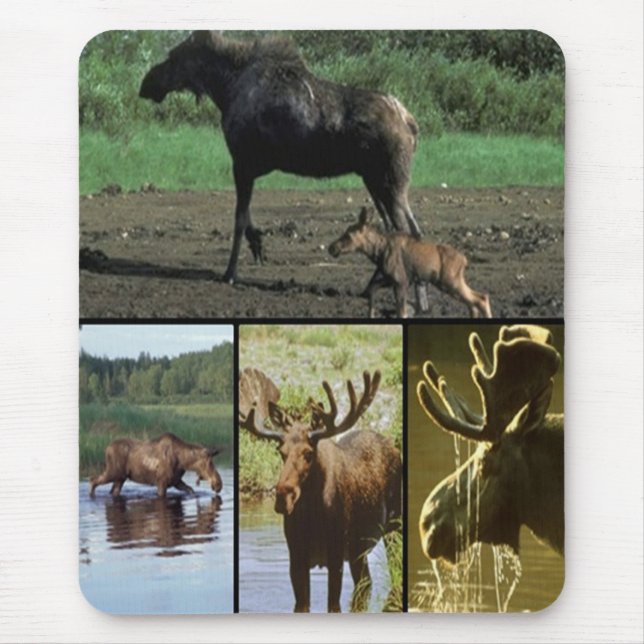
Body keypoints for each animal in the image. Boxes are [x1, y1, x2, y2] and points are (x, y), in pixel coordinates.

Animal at [239, 367, 401, 612]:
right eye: (280, 450)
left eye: (308, 452)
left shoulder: (336, 555)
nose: (283, 496)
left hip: (393, 528)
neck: (312, 517)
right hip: (359, 550)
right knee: (366, 583)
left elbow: (333, 604)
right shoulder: (296, 557)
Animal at [328, 206, 492, 318]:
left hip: (450, 282)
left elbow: (402, 312)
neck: (377, 252)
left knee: (479, 299)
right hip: (449, 283)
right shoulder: (390, 279)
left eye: (348, 235)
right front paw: (371, 314)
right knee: (476, 300)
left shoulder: (401, 281)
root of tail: (464, 260)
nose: (331, 248)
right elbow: (372, 291)